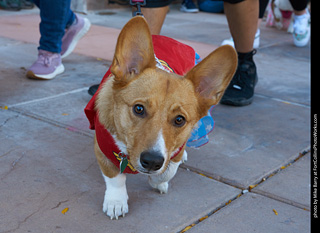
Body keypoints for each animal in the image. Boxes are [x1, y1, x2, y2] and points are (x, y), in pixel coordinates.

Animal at [85, 16, 238, 220]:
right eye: (139, 109)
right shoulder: (102, 148)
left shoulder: (174, 151)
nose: (152, 162)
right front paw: (116, 202)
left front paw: (158, 181)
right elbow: (115, 178)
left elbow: (168, 171)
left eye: (180, 120)